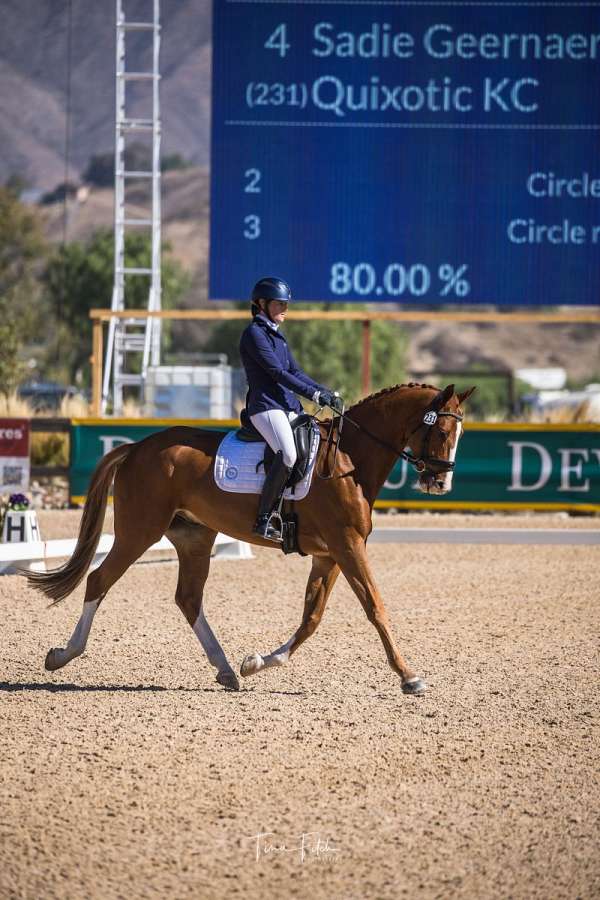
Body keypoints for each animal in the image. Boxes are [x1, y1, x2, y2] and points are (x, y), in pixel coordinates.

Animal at [27, 384, 474, 692]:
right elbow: (376, 607)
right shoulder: (348, 546)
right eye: (440, 432)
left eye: (459, 435)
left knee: (188, 598)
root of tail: (137, 447)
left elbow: (311, 618)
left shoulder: (329, 555)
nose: (441, 483)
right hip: (140, 531)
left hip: (195, 537)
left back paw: (226, 670)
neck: (351, 459)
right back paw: (62, 656)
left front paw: (257, 662)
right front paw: (409, 676)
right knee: (99, 580)